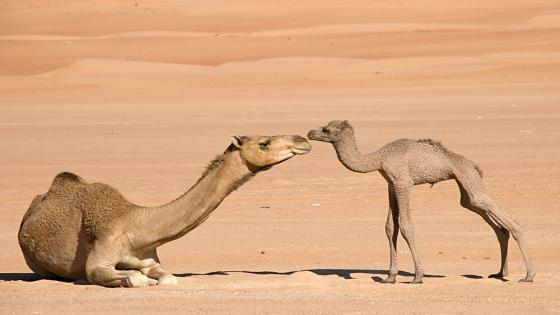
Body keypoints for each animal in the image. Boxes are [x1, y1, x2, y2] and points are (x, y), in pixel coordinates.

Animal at [17, 135, 312, 288]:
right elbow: (132, 279)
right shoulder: (99, 260)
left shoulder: (151, 257)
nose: (302, 140)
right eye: (264, 143)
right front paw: (135, 277)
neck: (135, 226)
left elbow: (167, 278)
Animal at [308, 120, 536, 284]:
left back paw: (528, 275)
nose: (310, 133)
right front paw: (389, 277)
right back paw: (499, 273)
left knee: (504, 217)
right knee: (489, 218)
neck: (379, 158)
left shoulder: (403, 183)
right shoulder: (391, 184)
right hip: (464, 185)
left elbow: (406, 226)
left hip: (466, 176)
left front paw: (417, 276)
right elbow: (390, 227)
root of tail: (472, 163)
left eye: (327, 129)